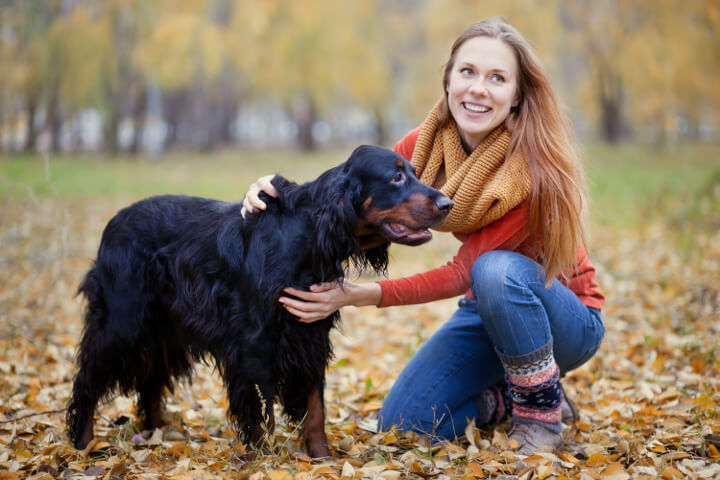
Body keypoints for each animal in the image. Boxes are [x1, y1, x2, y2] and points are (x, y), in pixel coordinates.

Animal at [67, 145, 450, 458]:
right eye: (396, 177)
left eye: (414, 172)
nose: (447, 204)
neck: (306, 235)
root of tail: (113, 223)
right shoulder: (255, 342)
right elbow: (263, 411)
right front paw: (265, 460)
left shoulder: (310, 334)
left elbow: (315, 408)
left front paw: (321, 457)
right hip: (121, 323)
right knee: (87, 380)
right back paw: (84, 445)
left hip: (163, 330)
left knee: (150, 382)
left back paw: (156, 435)